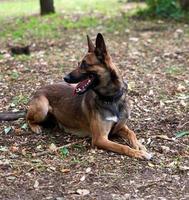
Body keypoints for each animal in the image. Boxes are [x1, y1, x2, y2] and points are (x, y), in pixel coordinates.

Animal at [0, 33, 152, 160]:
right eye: (79, 63)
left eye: (84, 64)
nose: (65, 77)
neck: (111, 99)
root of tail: (38, 91)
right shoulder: (100, 138)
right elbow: (123, 147)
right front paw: (138, 152)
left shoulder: (120, 126)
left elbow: (132, 133)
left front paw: (140, 146)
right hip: (42, 107)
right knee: (27, 118)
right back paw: (36, 127)